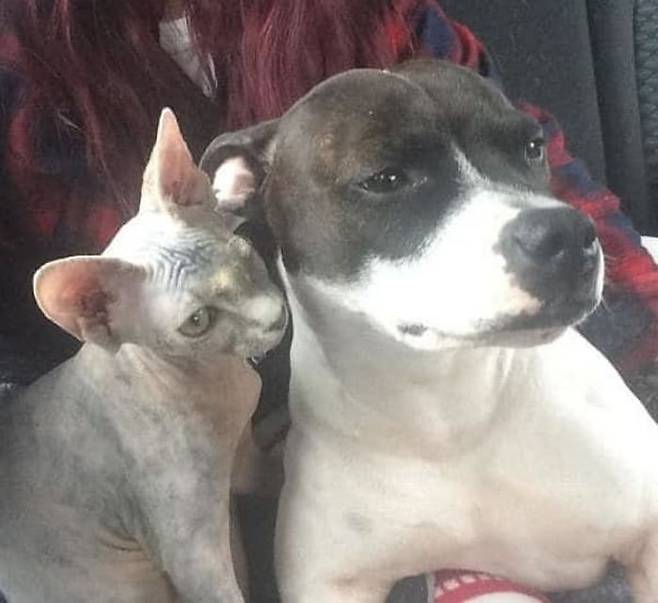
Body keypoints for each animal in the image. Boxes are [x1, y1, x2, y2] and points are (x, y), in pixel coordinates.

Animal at [0, 109, 287, 603]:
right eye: (197, 322)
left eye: (247, 254)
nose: (276, 317)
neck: (216, 378)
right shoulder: (193, 552)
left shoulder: (244, 460)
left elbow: (277, 471)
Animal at [201, 59, 658, 602]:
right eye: (385, 178)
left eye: (532, 146)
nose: (567, 235)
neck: (446, 410)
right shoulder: (331, 582)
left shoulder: (646, 533)